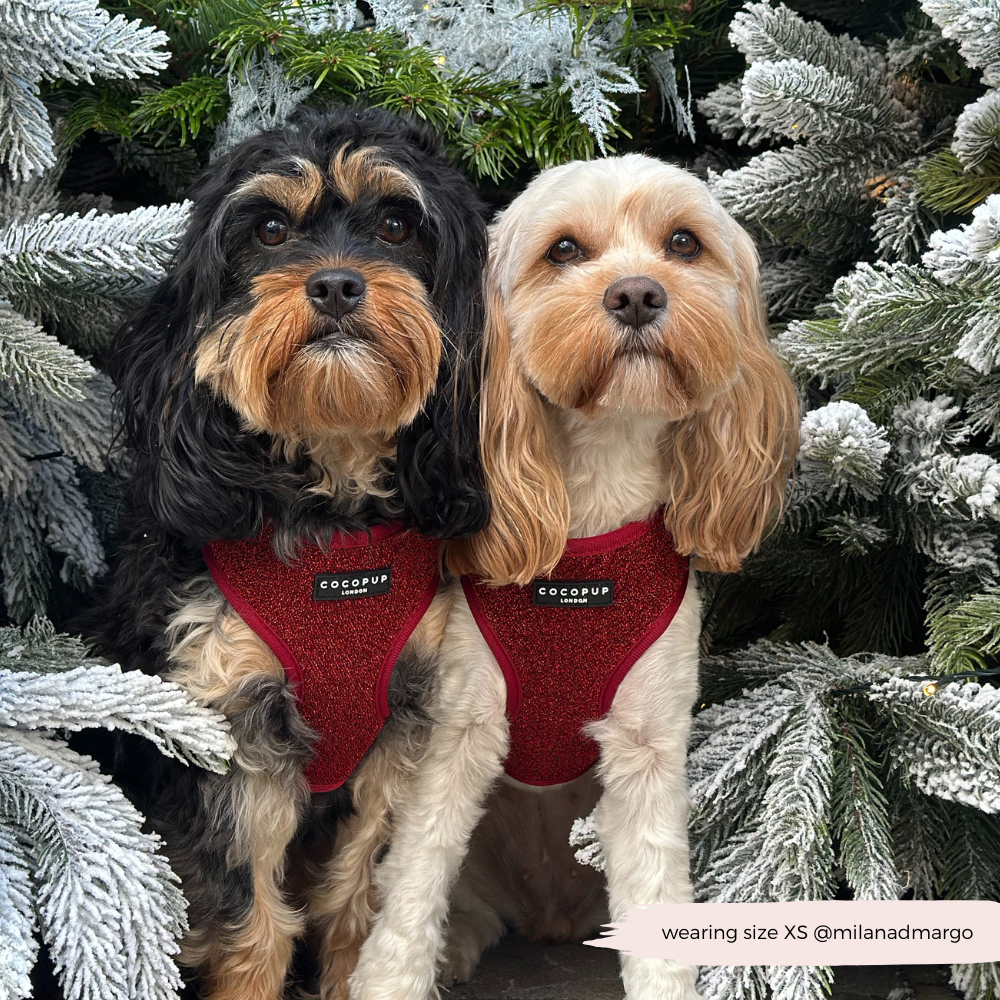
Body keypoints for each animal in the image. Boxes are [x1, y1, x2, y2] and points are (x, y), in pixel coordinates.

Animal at [92, 109, 490, 1000]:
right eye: (270, 231)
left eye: (397, 225)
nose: (336, 284)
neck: (332, 527)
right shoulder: (230, 730)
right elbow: (256, 923)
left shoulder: (405, 729)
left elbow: (358, 897)